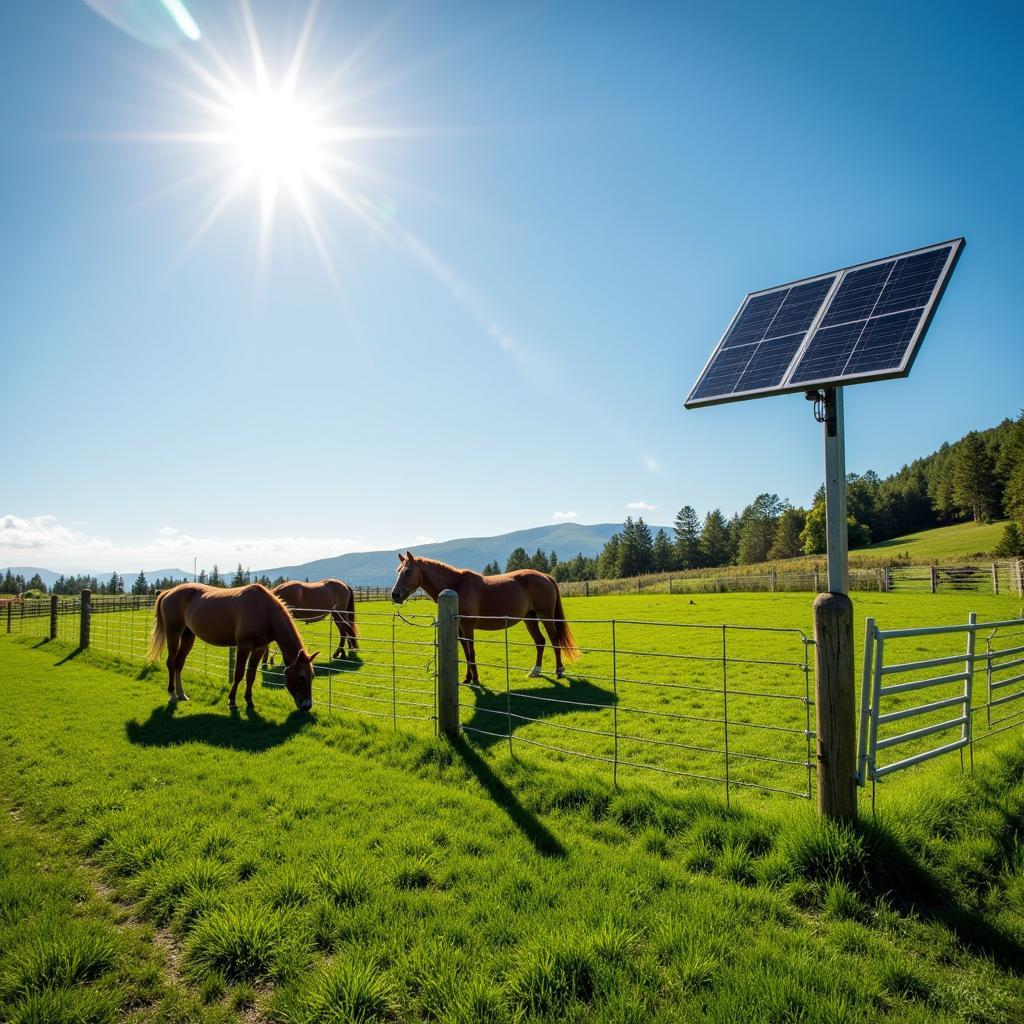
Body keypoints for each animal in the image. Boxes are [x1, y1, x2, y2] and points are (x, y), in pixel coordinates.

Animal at [146, 585, 317, 712]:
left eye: (312, 676)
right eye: (301, 677)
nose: (307, 706)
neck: (264, 610)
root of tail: (168, 592)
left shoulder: (259, 648)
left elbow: (251, 675)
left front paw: (249, 702)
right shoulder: (244, 645)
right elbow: (239, 674)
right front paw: (232, 701)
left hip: (188, 636)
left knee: (179, 664)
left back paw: (182, 694)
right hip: (173, 633)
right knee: (171, 663)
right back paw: (172, 695)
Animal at [387, 548, 577, 684]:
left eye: (408, 572)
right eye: (398, 571)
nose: (395, 595)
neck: (457, 585)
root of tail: (545, 576)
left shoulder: (468, 626)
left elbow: (471, 652)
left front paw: (476, 679)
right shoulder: (460, 628)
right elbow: (465, 652)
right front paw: (467, 678)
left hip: (546, 617)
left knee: (554, 640)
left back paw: (559, 671)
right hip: (530, 619)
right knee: (540, 641)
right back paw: (535, 671)